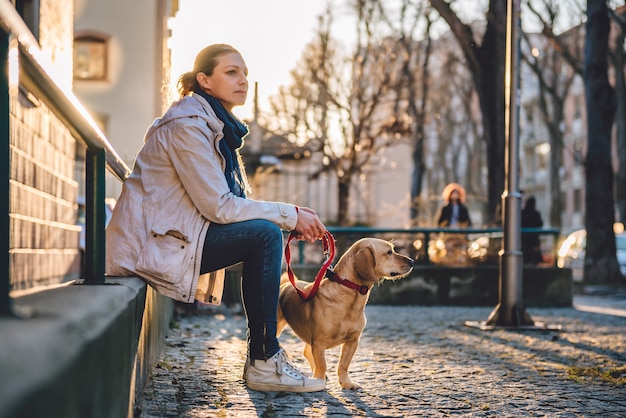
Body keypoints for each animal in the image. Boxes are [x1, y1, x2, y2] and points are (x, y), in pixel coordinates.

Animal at [276, 238, 412, 392]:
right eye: (389, 252)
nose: (412, 261)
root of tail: (286, 285)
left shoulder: (352, 341)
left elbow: (343, 365)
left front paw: (346, 383)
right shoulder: (319, 343)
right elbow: (322, 365)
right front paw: (319, 380)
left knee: (307, 352)